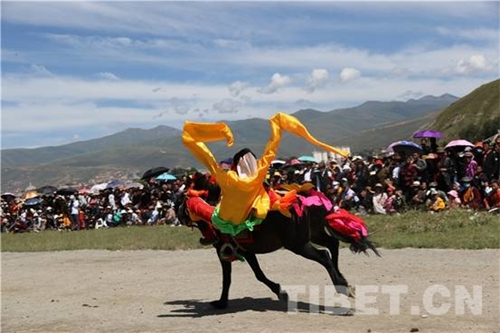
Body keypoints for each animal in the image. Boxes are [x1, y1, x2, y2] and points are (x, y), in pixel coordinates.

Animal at [178, 192, 376, 308]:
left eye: (182, 204)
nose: (178, 214)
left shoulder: (226, 252)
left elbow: (233, 278)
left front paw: (221, 302)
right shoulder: (246, 252)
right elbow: (254, 274)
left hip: (297, 244)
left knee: (324, 255)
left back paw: (341, 285)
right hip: (314, 234)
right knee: (333, 245)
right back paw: (343, 281)